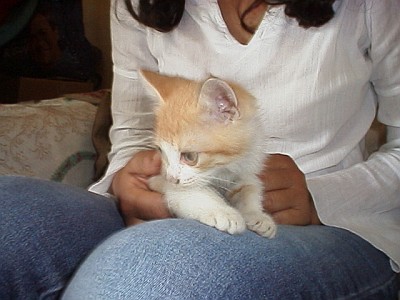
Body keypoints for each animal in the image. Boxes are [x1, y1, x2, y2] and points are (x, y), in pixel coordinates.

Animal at [142, 70, 276, 239]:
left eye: (190, 156)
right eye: (161, 151)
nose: (171, 178)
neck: (225, 169)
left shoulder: (246, 165)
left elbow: (250, 188)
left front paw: (257, 215)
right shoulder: (159, 179)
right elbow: (193, 191)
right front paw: (224, 212)